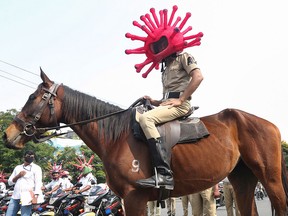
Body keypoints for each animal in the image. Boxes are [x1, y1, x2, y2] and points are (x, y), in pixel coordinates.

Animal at [2, 70, 288, 215]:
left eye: (33, 97)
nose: (8, 134)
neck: (116, 136)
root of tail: (270, 124)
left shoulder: (134, 198)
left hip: (270, 178)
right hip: (242, 177)